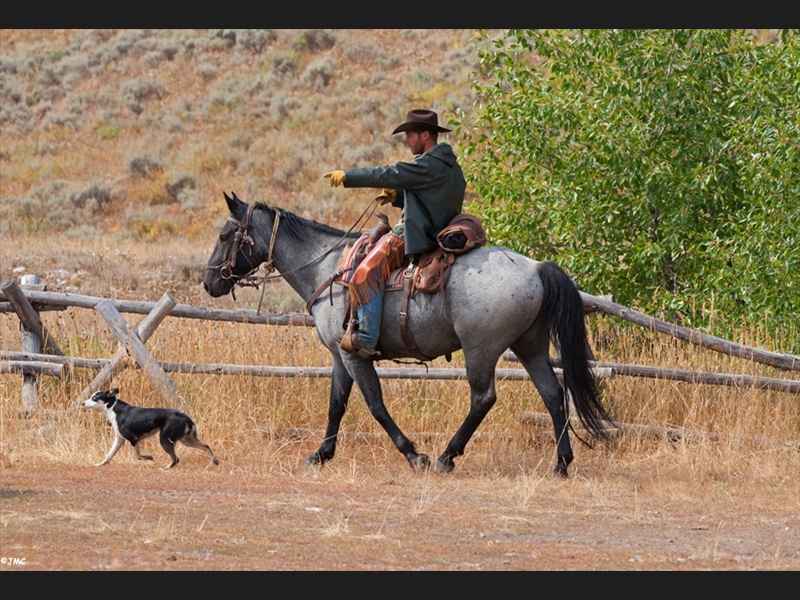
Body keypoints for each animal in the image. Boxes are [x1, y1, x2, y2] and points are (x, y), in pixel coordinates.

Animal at [83, 390, 219, 468]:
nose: (83, 403)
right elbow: (109, 455)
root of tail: (185, 417)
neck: (113, 409)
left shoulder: (133, 439)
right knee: (206, 446)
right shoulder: (119, 439)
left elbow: (137, 456)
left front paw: (149, 458)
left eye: (94, 398)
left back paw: (166, 468)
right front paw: (100, 464)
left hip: (165, 439)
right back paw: (215, 461)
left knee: (176, 459)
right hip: (187, 440)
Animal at [205, 192, 612, 478]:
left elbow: (375, 405)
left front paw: (415, 455)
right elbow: (337, 405)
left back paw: (447, 456)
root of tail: (536, 267)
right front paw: (320, 455)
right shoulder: (339, 356)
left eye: (225, 234)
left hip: (481, 350)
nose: (208, 282)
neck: (327, 268)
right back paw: (561, 464)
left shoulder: (353, 354)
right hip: (530, 347)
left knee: (483, 398)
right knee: (553, 395)